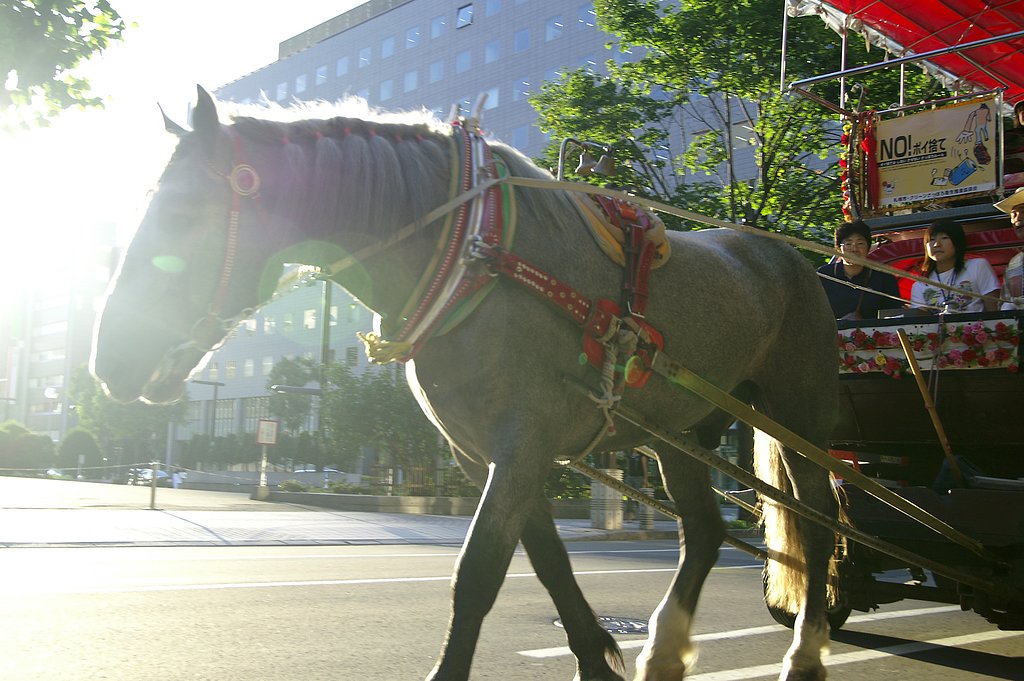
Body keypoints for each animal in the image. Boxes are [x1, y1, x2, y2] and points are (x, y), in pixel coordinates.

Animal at [92, 87, 842, 681]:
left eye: (182, 213)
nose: (108, 360)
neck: (474, 258)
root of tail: (789, 255)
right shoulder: (486, 452)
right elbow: (549, 565)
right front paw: (595, 658)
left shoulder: (522, 443)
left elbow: (477, 575)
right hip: (677, 433)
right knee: (706, 531)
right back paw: (664, 651)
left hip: (798, 412)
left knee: (821, 525)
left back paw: (806, 651)